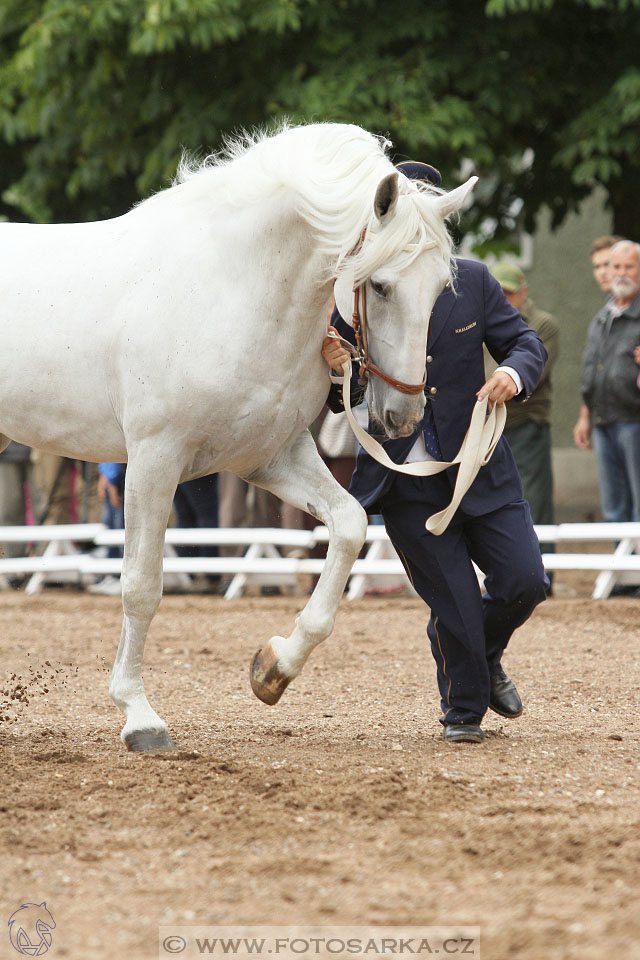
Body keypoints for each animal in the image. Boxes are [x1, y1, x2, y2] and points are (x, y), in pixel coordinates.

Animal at [0, 124, 476, 752]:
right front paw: (140, 717)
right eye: (379, 285)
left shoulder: (271, 457)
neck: (231, 287)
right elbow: (141, 585)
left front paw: (274, 668)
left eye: (442, 285)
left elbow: (349, 525)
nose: (403, 416)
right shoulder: (154, 460)